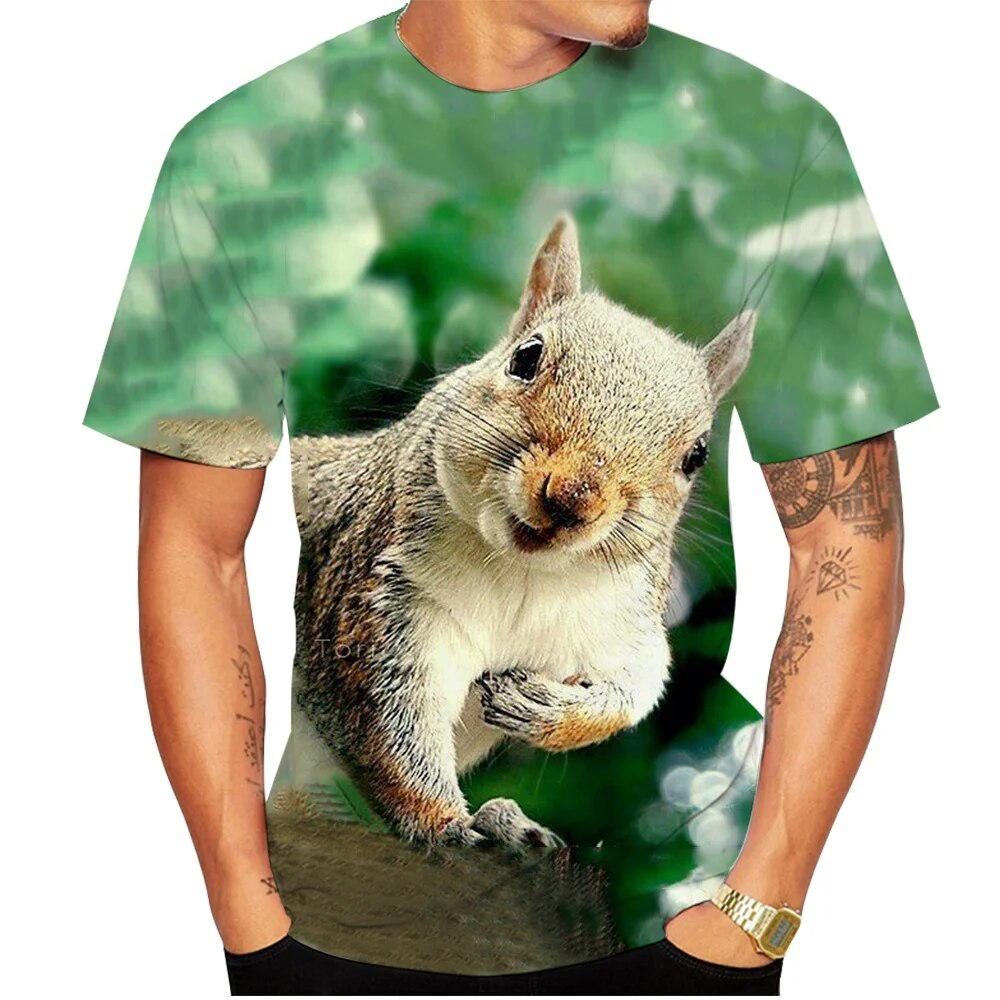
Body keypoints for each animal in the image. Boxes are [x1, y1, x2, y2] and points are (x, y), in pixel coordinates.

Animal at [286, 215, 756, 851]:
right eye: (526, 357)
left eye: (697, 455)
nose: (572, 497)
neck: (523, 572)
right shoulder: (377, 598)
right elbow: (391, 728)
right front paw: (446, 825)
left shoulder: (621, 622)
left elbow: (635, 689)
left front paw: (544, 709)